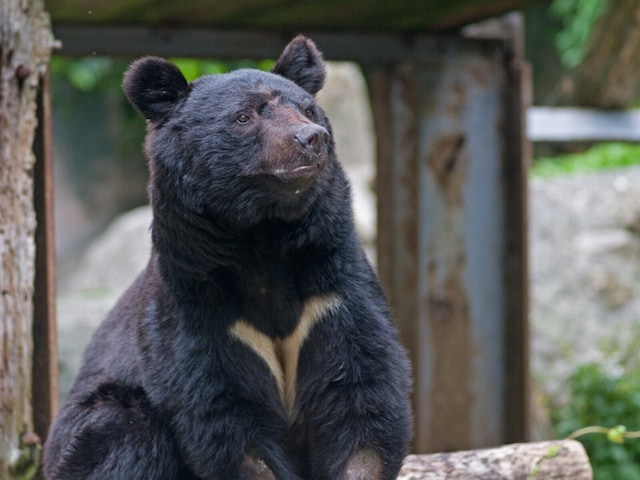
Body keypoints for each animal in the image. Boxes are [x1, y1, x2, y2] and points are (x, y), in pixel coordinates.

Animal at [43, 35, 412, 480]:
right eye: (243, 117)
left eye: (308, 109)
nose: (312, 138)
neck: (262, 239)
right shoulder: (198, 308)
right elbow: (227, 416)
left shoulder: (332, 288)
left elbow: (361, 391)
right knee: (125, 431)